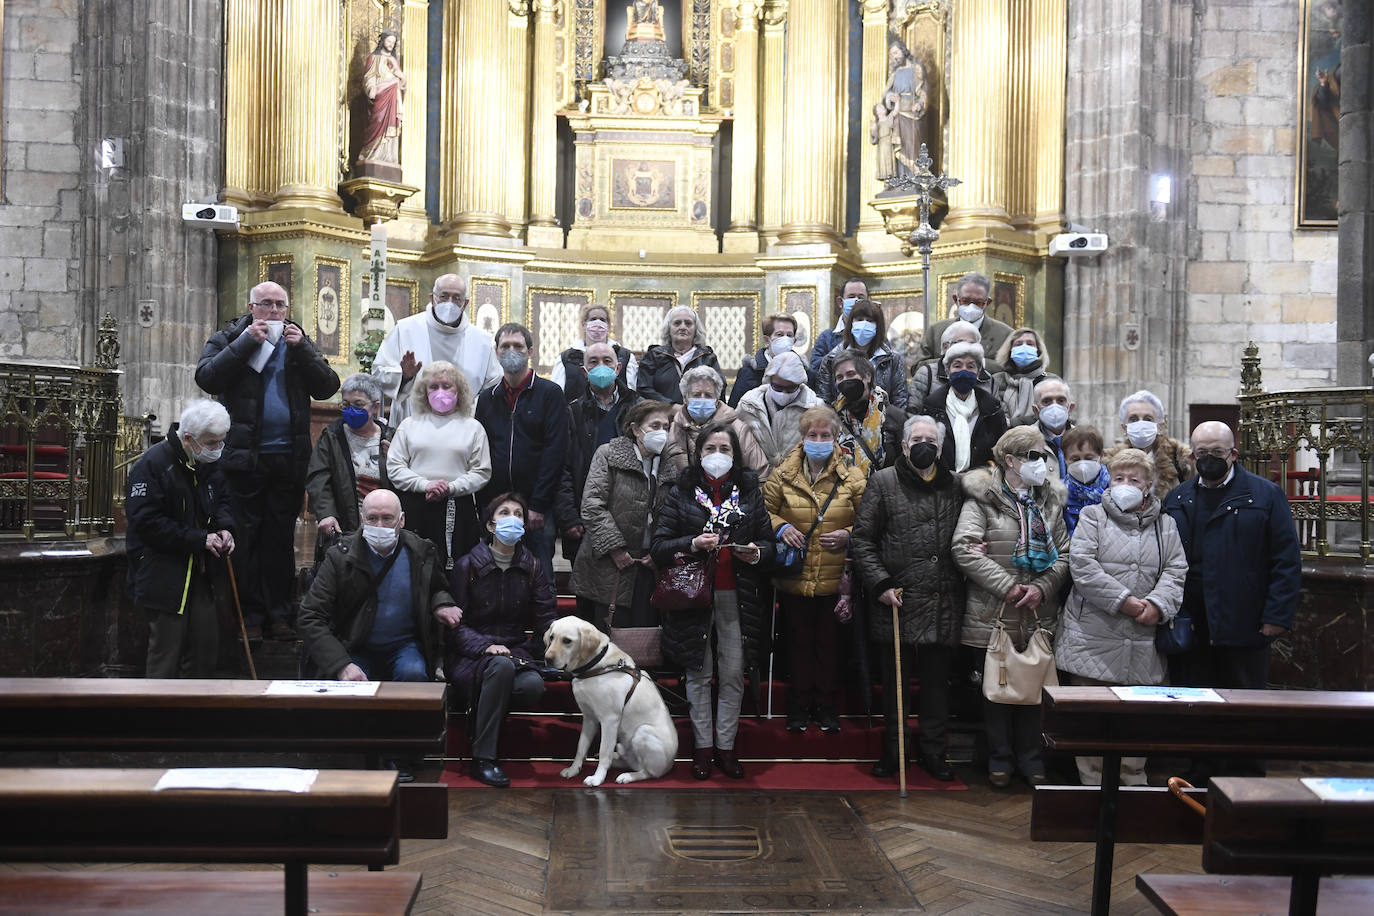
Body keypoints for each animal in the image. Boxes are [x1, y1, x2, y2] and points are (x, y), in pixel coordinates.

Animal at [544, 615, 678, 791]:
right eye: (552, 637)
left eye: (567, 640)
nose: (547, 658)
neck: (594, 667)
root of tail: (671, 764)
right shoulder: (589, 718)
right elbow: (581, 747)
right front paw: (573, 770)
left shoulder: (609, 720)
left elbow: (604, 752)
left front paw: (597, 778)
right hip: (625, 744)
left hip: (643, 732)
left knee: (648, 772)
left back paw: (627, 776)